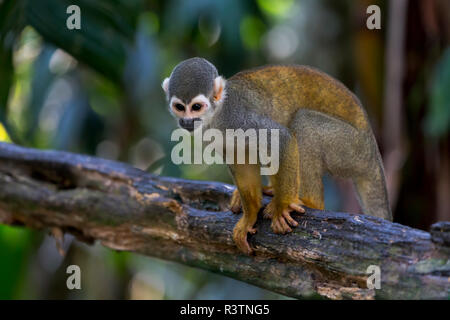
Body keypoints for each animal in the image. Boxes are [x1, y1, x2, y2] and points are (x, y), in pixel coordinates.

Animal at [162, 56, 390, 254]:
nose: (187, 121)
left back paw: (309, 202)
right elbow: (241, 159)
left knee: (303, 123)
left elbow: (281, 137)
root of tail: (373, 154)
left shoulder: (237, 118)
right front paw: (251, 214)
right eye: (180, 107)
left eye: (196, 107)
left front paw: (282, 207)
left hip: (351, 149)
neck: (215, 116)